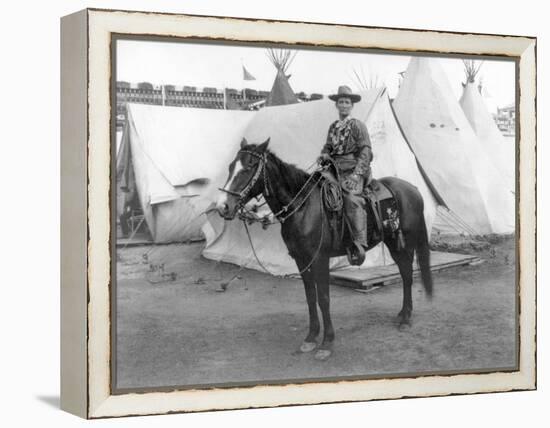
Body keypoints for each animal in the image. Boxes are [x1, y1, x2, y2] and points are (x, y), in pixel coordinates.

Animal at [217, 138, 436, 362]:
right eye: (231, 166)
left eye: (249, 167)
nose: (223, 207)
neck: (303, 206)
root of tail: (413, 189)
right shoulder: (301, 260)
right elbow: (310, 298)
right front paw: (311, 337)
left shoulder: (320, 259)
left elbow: (323, 299)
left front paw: (327, 343)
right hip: (393, 243)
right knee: (405, 273)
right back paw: (402, 314)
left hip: (404, 244)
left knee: (408, 275)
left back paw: (406, 318)